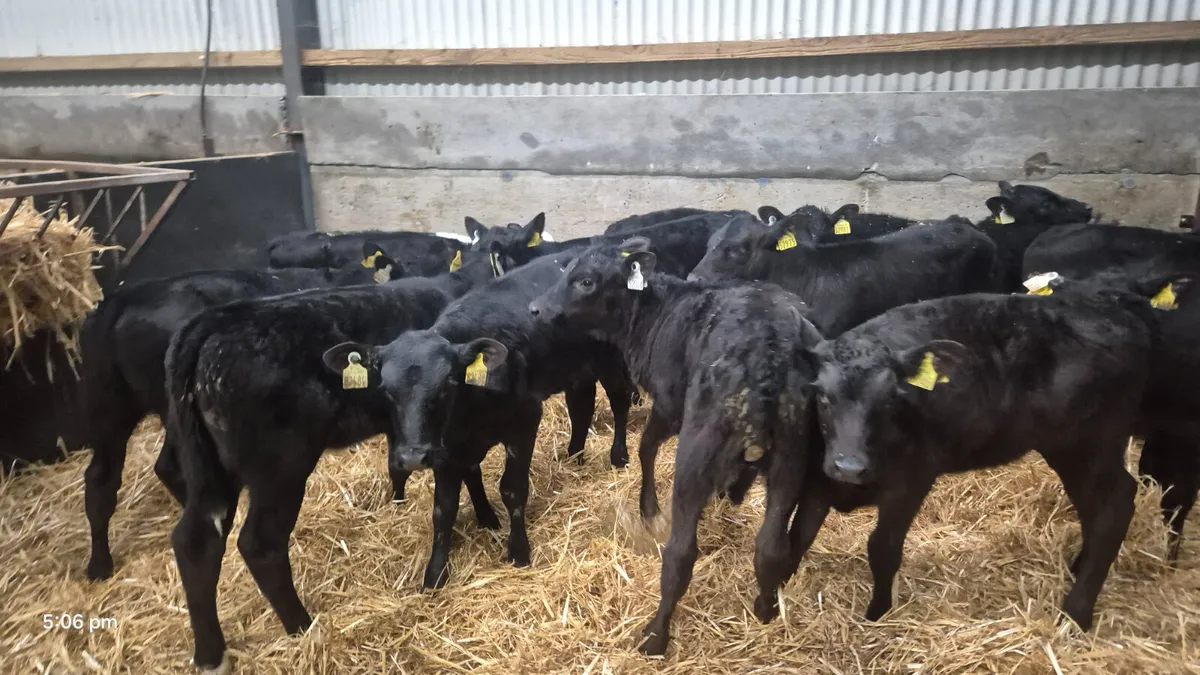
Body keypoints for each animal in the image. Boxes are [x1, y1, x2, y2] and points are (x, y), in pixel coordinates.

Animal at [323, 251, 633, 594]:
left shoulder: (524, 422)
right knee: (581, 406)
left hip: (610, 358)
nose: (413, 456)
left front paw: (518, 550)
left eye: (446, 385)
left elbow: (512, 489)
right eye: (386, 390)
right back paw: (574, 457)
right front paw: (435, 573)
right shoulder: (445, 448)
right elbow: (444, 508)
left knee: (619, 399)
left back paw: (618, 456)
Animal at [528, 239, 824, 656]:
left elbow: (646, 447)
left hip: (695, 453)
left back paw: (655, 635)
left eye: (586, 280)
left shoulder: (669, 405)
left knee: (681, 553)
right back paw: (765, 609)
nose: (535, 308)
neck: (655, 314)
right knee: (771, 547)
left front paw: (648, 507)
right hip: (791, 459)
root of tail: (769, 353)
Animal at [801, 290, 1149, 632]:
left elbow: (882, 548)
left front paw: (877, 614)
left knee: (1115, 505)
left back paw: (1076, 613)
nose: (849, 467)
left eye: (889, 401)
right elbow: (797, 539)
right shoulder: (818, 483)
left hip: (1088, 444)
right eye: (823, 397)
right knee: (1094, 507)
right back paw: (1078, 566)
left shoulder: (912, 480)